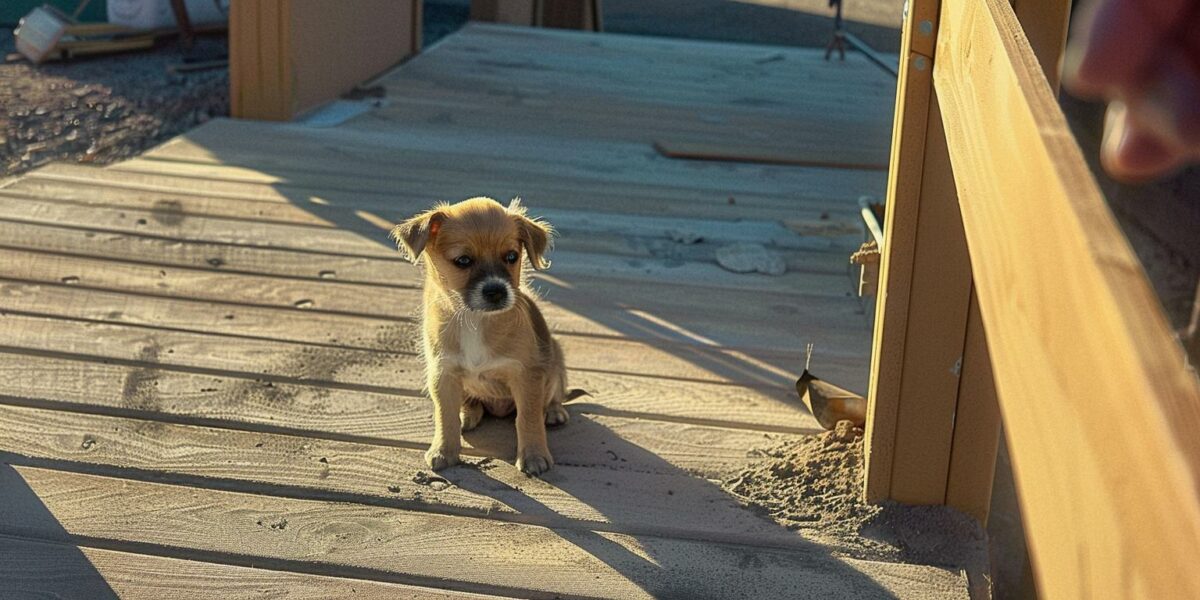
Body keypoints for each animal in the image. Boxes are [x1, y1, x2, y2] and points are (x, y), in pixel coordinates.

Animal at [388, 199, 566, 475]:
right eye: (463, 260)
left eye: (512, 257)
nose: (497, 291)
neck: (475, 320)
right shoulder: (443, 373)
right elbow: (445, 416)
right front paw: (443, 450)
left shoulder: (526, 375)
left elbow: (528, 417)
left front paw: (534, 455)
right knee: (471, 403)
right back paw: (467, 413)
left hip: (556, 355)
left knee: (555, 391)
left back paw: (554, 412)